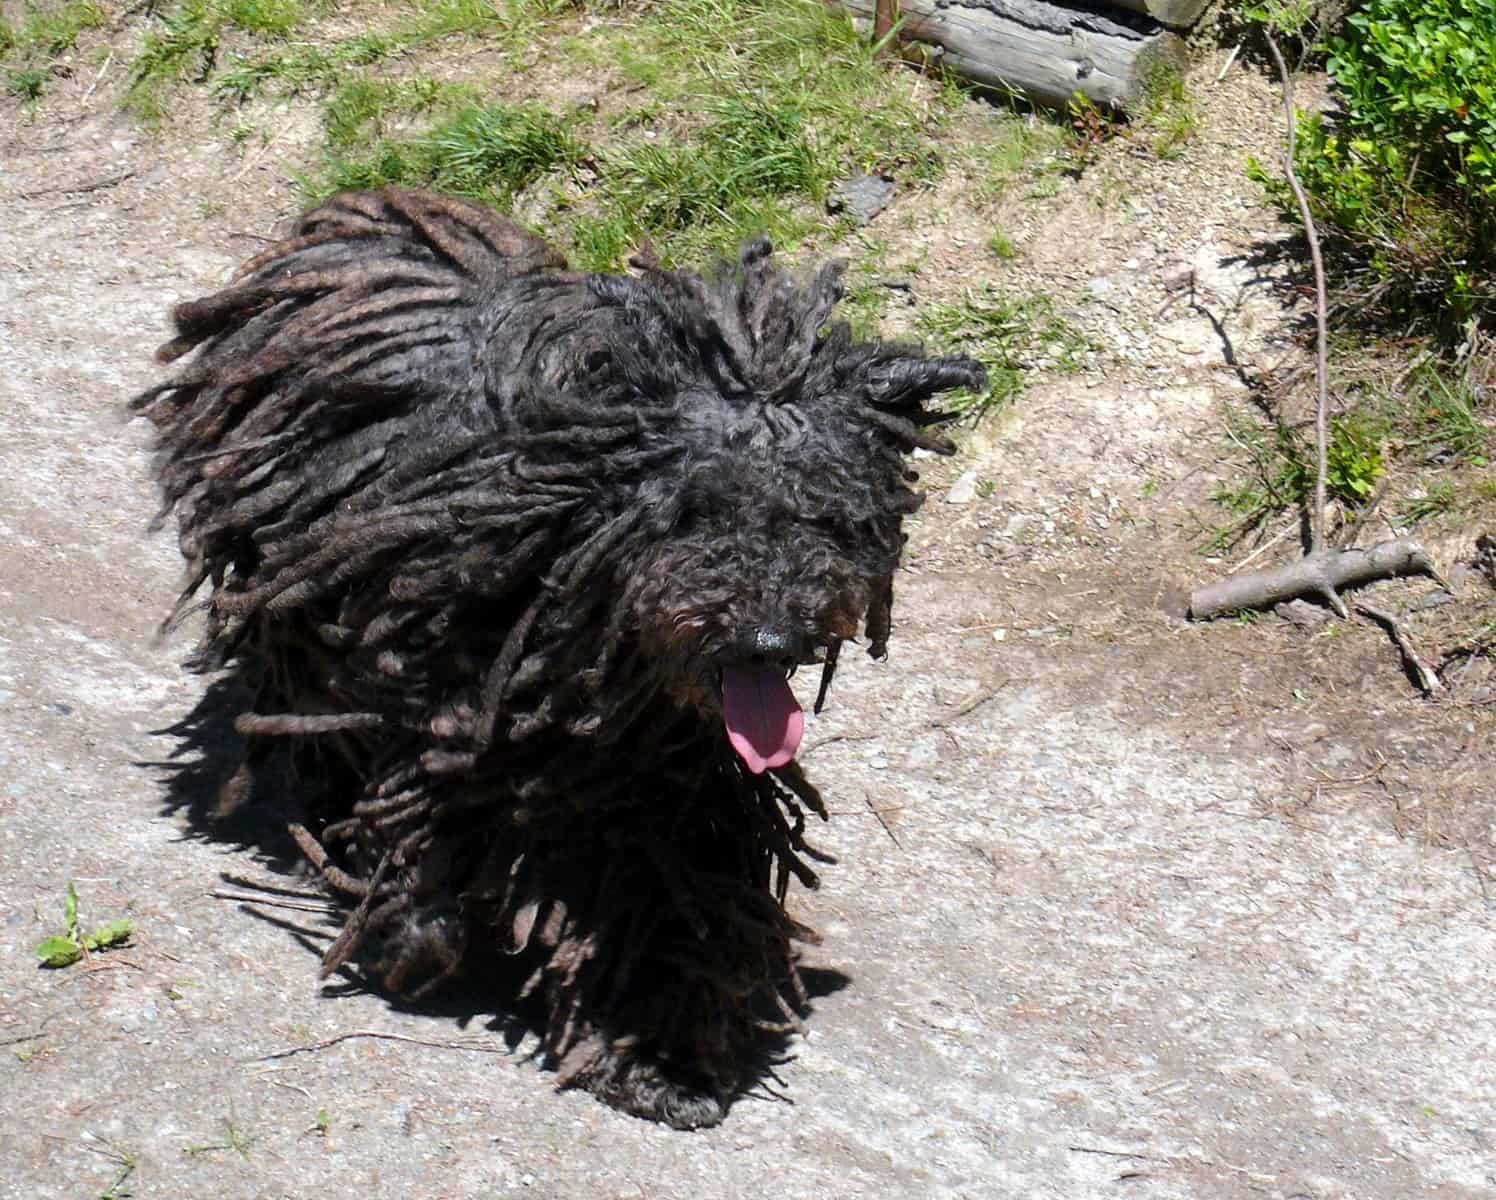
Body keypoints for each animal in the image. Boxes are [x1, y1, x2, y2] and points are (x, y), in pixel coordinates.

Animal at [137, 184, 981, 1125]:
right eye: (698, 510)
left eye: (827, 514)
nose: (770, 635)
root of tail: (357, 213)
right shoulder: (451, 707)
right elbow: (424, 815)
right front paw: (411, 933)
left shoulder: (664, 774)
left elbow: (671, 885)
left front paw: (657, 1051)